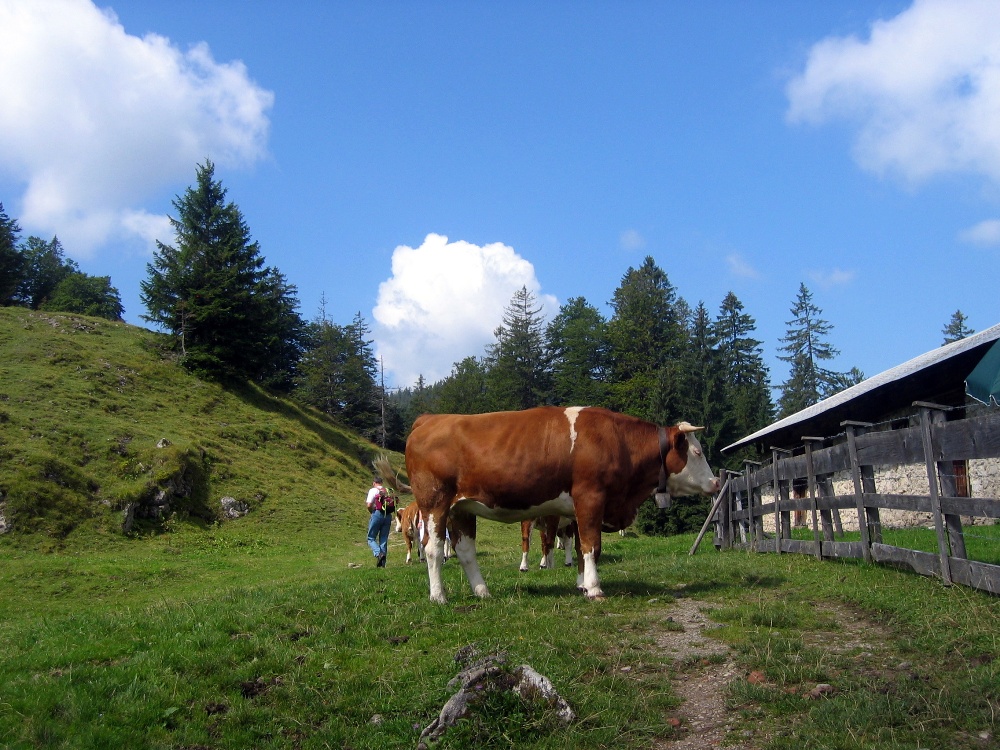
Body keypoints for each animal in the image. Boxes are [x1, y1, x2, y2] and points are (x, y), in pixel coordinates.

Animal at [400, 406, 720, 604]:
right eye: (697, 452)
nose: (716, 482)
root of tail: (430, 418)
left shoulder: (579, 508)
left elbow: (579, 547)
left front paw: (581, 583)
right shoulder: (591, 497)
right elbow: (592, 545)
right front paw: (594, 587)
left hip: (462, 508)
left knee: (465, 551)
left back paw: (482, 592)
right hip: (435, 502)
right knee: (433, 548)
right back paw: (438, 596)